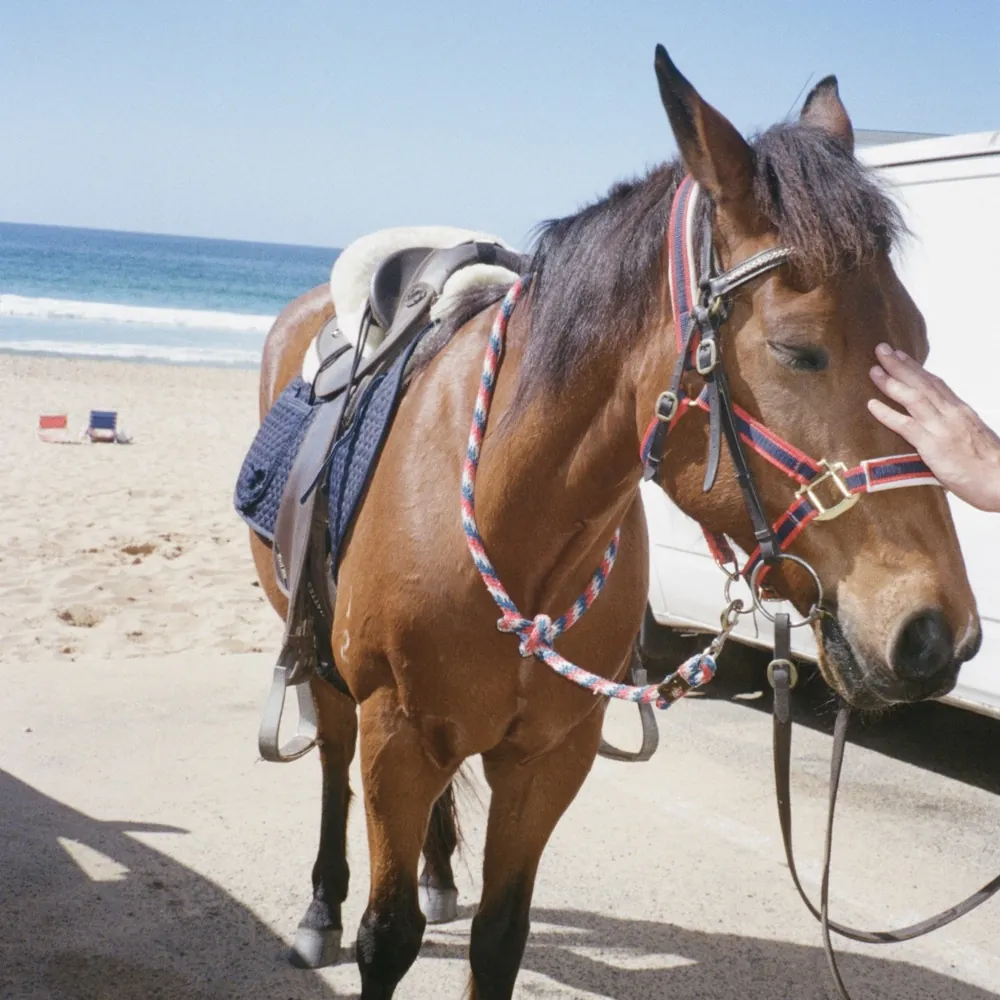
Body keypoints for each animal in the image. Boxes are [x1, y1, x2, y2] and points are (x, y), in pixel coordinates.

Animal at [248, 46, 980, 1000]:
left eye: (920, 342)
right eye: (797, 349)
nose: (936, 633)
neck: (518, 531)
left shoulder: (549, 758)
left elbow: (499, 937)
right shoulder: (396, 737)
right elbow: (388, 937)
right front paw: (354, 917)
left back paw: (438, 874)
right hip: (329, 671)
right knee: (332, 760)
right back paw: (318, 910)